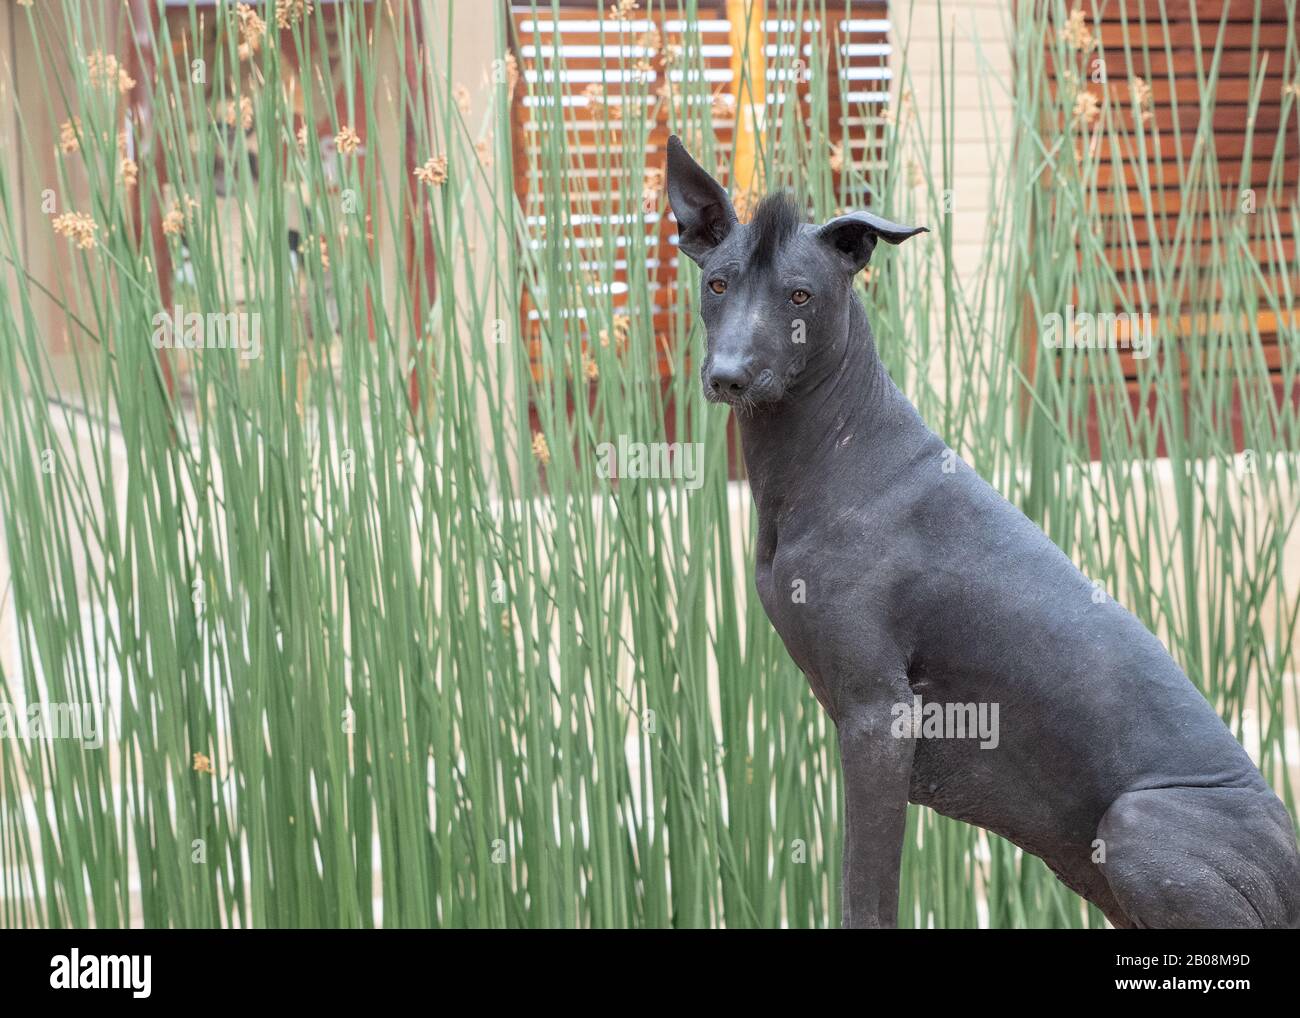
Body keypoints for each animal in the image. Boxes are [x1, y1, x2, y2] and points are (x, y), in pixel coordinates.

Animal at [665, 135, 1300, 930]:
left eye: (800, 296)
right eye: (717, 285)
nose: (729, 376)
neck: (835, 446)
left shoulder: (879, 723)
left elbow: (866, 892)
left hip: (1135, 826)